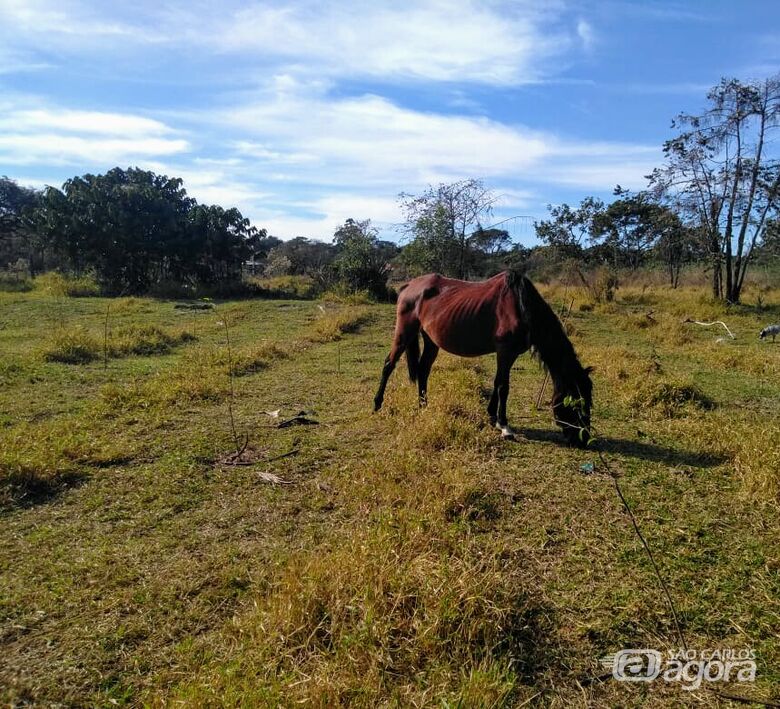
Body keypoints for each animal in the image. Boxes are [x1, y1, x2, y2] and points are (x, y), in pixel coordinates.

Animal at [374, 268, 596, 446]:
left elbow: (498, 382)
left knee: (423, 370)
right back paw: (377, 404)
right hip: (404, 333)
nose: (583, 439)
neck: (521, 307)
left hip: (431, 341)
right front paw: (505, 426)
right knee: (388, 364)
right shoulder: (505, 351)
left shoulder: (507, 354)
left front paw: (492, 417)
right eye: (576, 402)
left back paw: (423, 407)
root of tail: (409, 285)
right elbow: (504, 387)